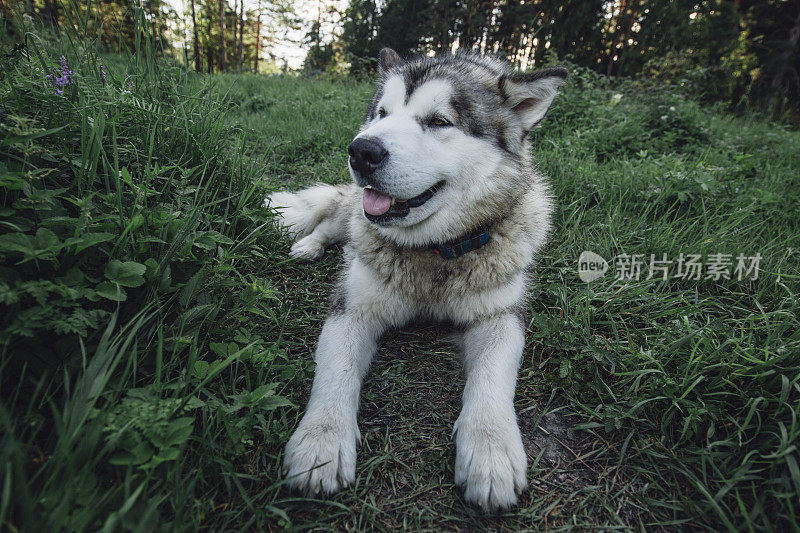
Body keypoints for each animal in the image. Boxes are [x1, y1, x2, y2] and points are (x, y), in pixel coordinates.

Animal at [268, 50, 568, 512]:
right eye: (381, 113)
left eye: (440, 121)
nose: (362, 150)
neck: (434, 254)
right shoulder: (352, 308)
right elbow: (335, 372)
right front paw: (321, 443)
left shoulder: (500, 315)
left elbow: (493, 375)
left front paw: (491, 450)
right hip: (348, 215)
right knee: (334, 222)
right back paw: (309, 244)